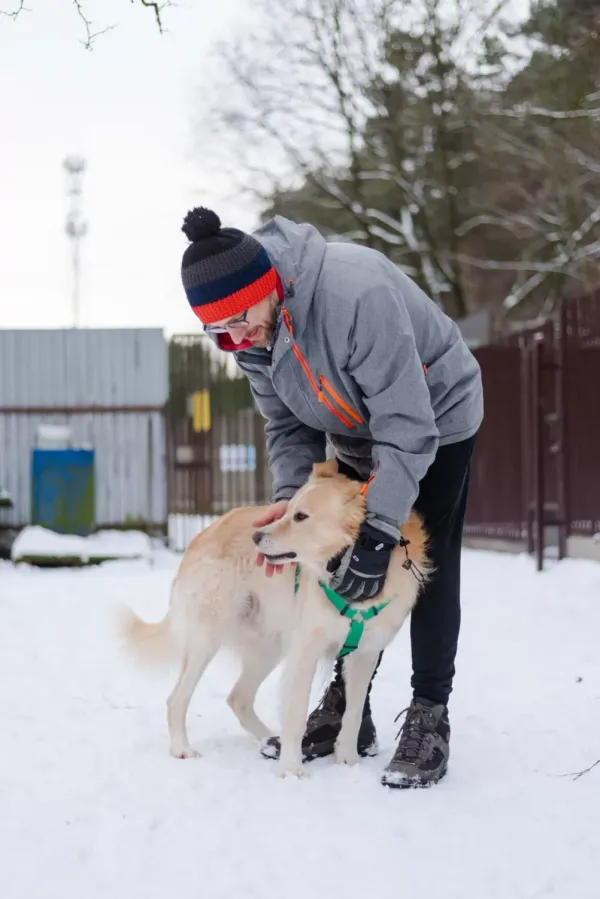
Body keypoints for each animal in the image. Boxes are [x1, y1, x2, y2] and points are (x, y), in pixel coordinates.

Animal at [120, 460, 426, 776]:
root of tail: (207, 531)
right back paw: (182, 747)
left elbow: (352, 713)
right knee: (177, 699)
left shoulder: (365, 653)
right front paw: (291, 769)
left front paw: (348, 762)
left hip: (269, 647)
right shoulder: (305, 650)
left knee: (238, 698)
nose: (256, 536)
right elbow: (295, 713)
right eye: (288, 510)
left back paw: (269, 740)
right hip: (208, 638)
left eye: (301, 516)